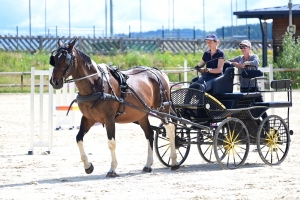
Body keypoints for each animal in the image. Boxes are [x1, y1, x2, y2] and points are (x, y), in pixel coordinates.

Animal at [50, 38, 179, 177]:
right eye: (54, 59)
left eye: (67, 59)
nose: (54, 82)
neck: (96, 84)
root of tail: (159, 72)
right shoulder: (88, 118)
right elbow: (78, 138)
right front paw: (88, 166)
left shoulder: (109, 119)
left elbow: (111, 143)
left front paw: (112, 169)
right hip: (142, 114)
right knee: (150, 134)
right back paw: (148, 165)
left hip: (162, 110)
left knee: (170, 129)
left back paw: (174, 162)